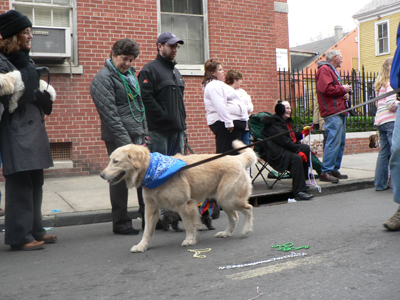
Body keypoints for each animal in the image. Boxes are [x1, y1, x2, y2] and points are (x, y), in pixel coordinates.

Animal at [100, 139, 256, 252]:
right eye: (110, 160)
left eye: (115, 161)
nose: (101, 175)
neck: (153, 170)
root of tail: (238, 158)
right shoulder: (151, 209)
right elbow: (147, 231)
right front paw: (142, 246)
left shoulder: (184, 205)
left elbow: (188, 224)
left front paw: (190, 239)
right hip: (224, 200)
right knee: (235, 216)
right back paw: (226, 233)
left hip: (228, 199)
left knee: (248, 208)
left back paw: (246, 229)